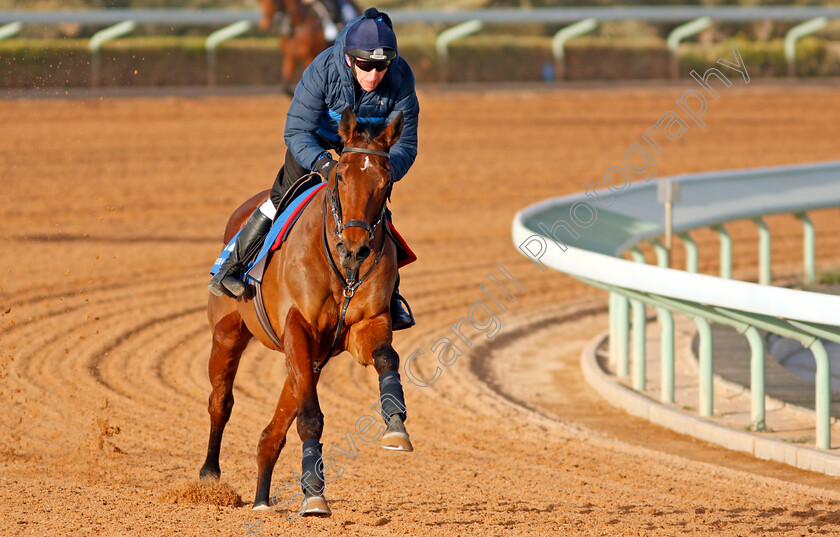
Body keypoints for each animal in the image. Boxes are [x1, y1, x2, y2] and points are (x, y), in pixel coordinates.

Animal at [200, 105, 410, 516]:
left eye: (386, 180)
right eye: (340, 176)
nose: (354, 249)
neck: (342, 272)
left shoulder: (364, 325)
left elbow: (386, 357)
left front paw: (396, 423)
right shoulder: (297, 327)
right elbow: (310, 416)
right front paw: (314, 492)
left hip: (311, 357)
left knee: (274, 430)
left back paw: (262, 499)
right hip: (228, 332)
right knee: (221, 400)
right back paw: (209, 476)